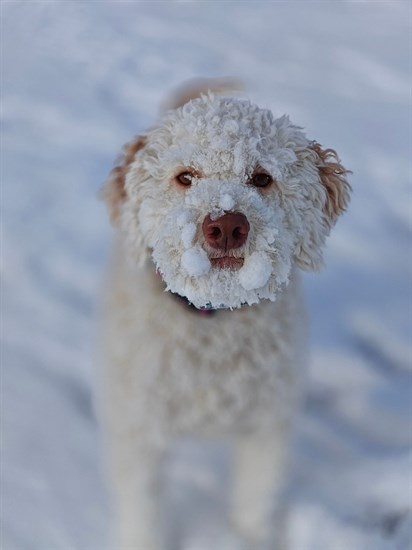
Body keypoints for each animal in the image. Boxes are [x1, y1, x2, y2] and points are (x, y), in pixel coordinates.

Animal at [98, 78, 350, 550]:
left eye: (262, 178)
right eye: (185, 177)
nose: (227, 225)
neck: (213, 317)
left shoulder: (267, 425)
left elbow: (255, 501)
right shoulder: (137, 430)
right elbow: (144, 511)